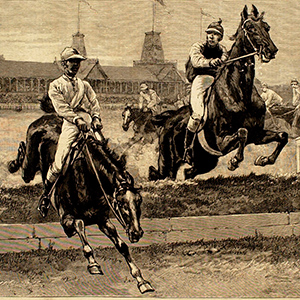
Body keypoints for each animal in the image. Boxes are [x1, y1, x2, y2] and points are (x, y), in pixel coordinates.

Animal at [149, 4, 288, 180]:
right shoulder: (219, 142)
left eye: (267, 27)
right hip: (168, 163)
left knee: (188, 172)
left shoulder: (257, 134)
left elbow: (282, 135)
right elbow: (242, 132)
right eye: (250, 27)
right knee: (157, 173)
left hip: (204, 163)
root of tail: (167, 120)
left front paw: (264, 160)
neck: (240, 94)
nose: (271, 50)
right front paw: (234, 161)